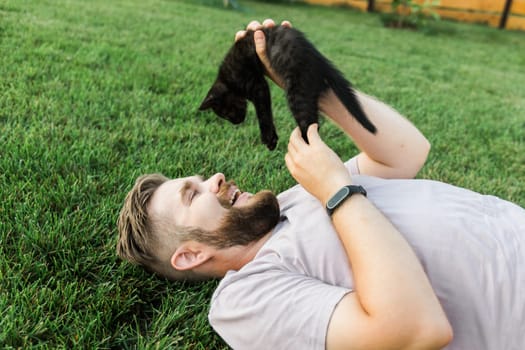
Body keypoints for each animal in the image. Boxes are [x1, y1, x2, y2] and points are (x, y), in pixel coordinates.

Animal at [199, 25, 374, 149]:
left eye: (225, 113)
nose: (236, 122)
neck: (226, 79)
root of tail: (319, 60)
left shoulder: (257, 85)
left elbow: (263, 112)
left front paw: (269, 139)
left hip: (297, 93)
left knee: (309, 125)